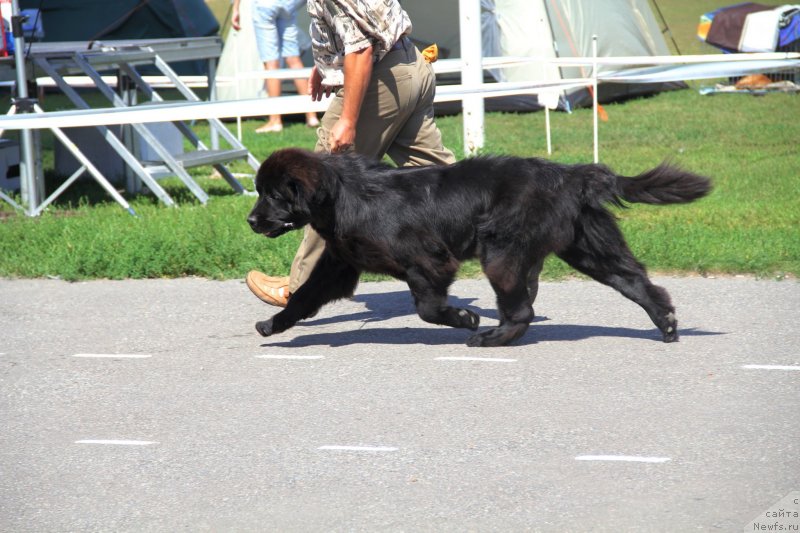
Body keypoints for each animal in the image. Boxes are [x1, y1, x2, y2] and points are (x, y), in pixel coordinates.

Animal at [247, 148, 708, 348]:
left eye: (272, 195)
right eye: (261, 191)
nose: (250, 220)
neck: (344, 195)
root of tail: (571, 175)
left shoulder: (429, 259)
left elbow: (427, 307)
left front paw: (464, 318)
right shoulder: (339, 266)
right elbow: (303, 296)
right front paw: (273, 325)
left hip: (501, 252)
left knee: (521, 310)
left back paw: (489, 337)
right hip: (588, 247)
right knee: (636, 281)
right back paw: (666, 324)